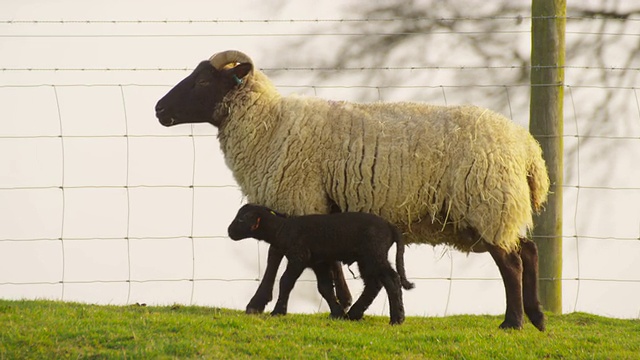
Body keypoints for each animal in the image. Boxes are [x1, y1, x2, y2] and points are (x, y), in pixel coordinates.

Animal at [226, 204, 416, 324]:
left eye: (241, 219)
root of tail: (390, 227)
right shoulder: (319, 263)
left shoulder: (299, 257)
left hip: (374, 254)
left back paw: (397, 319)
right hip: (367, 259)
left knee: (392, 279)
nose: (229, 231)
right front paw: (337, 313)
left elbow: (286, 282)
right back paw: (354, 314)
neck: (282, 229)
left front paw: (278, 312)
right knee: (374, 284)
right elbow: (324, 288)